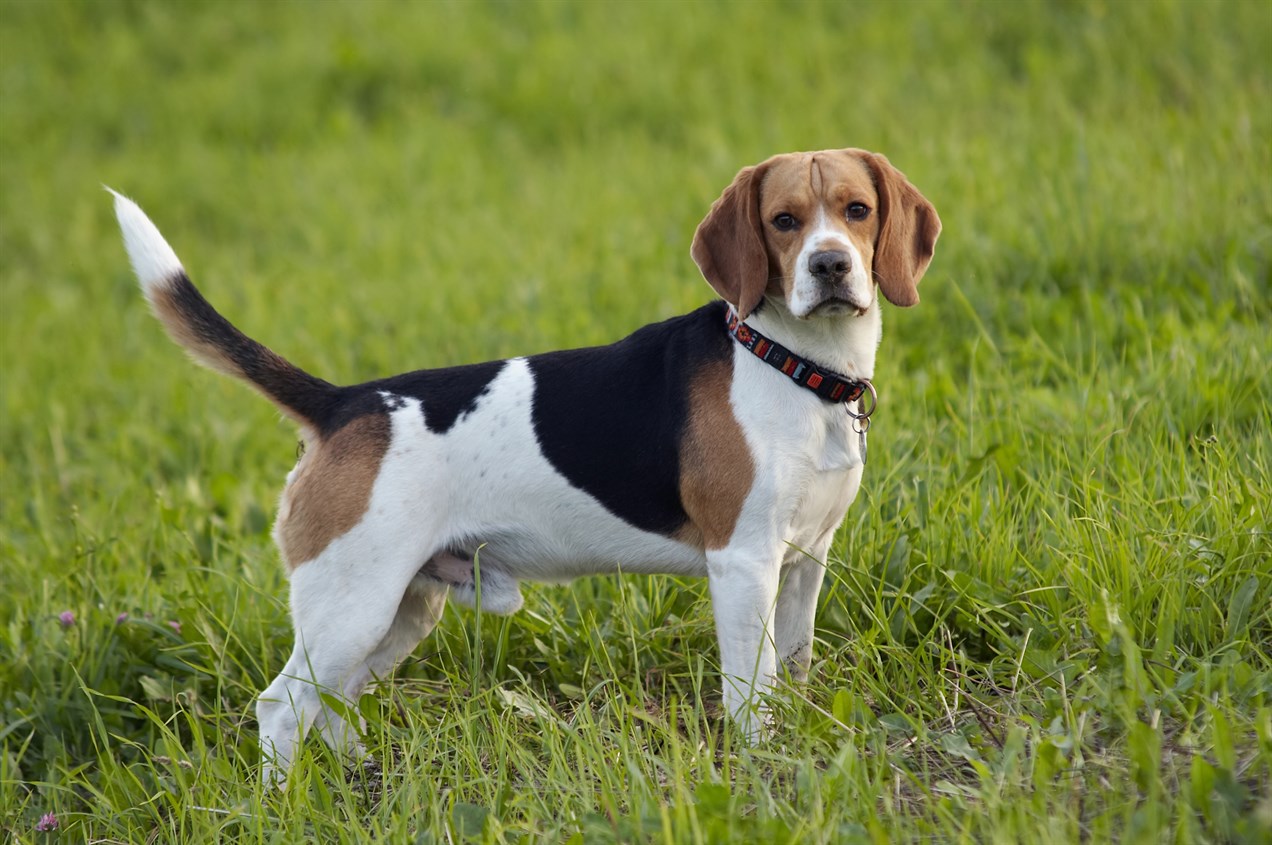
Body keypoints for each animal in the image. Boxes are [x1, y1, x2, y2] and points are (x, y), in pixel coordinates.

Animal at [111, 148, 936, 783]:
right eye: (783, 221)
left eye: (857, 210)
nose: (830, 265)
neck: (793, 363)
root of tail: (343, 402)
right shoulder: (743, 564)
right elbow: (750, 689)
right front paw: (760, 765)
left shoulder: (804, 559)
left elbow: (792, 667)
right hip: (351, 603)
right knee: (283, 708)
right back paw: (285, 804)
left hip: (402, 608)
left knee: (334, 702)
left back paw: (361, 777)